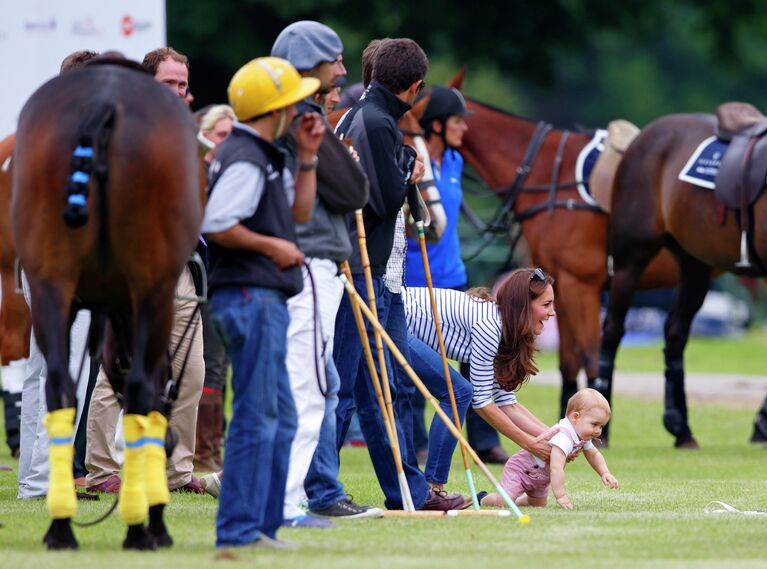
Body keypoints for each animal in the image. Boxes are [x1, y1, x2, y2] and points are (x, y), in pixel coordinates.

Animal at [11, 60, 202, 548]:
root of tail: (103, 103)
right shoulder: (146, 301)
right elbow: (147, 393)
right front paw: (153, 517)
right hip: (151, 289)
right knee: (138, 391)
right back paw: (139, 527)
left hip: (50, 285)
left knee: (59, 388)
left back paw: (61, 527)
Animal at [596, 111, 767, 448]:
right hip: (629, 260)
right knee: (612, 330)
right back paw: (602, 427)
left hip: (694, 265)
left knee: (675, 332)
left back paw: (681, 427)